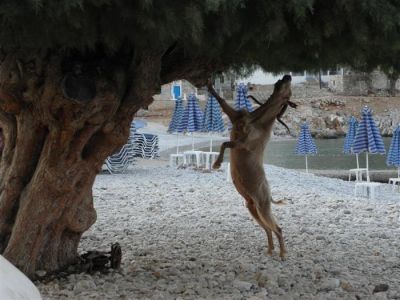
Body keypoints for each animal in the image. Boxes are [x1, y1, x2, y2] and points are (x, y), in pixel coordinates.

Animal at [208, 75, 292, 258]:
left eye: (289, 91)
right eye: (280, 81)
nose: (288, 76)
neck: (258, 120)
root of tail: (270, 194)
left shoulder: (243, 143)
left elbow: (225, 143)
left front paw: (217, 163)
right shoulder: (234, 116)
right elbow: (221, 101)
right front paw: (210, 87)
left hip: (262, 205)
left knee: (277, 228)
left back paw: (282, 253)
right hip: (252, 207)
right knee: (268, 229)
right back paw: (270, 249)